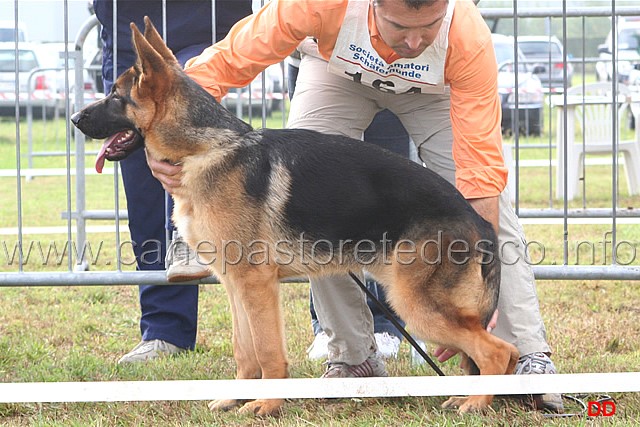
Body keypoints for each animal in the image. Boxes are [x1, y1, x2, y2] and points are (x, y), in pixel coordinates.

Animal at [71, 18, 520, 416]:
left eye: (115, 96)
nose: (74, 119)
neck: (206, 147)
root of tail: (477, 219)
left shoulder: (257, 285)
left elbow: (268, 351)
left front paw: (268, 405)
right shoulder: (234, 285)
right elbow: (245, 350)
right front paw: (234, 399)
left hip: (415, 305)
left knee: (499, 351)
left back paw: (476, 403)